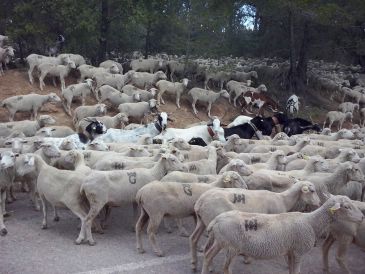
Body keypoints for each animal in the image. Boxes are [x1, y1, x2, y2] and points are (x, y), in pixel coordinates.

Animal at [189, 180, 320, 270]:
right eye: (312, 191)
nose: (319, 202)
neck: (283, 199)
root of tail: (200, 201)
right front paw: (288, 262)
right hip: (212, 222)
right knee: (207, 247)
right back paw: (209, 266)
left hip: (202, 221)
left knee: (194, 238)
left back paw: (194, 263)